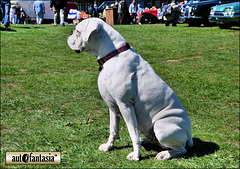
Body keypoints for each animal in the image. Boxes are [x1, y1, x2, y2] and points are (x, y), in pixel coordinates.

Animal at [67, 17, 193, 160]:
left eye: (78, 31)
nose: (70, 32)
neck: (112, 54)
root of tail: (189, 134)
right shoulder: (112, 106)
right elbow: (113, 129)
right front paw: (108, 146)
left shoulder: (125, 104)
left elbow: (133, 133)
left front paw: (136, 155)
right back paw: (148, 141)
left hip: (161, 126)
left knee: (181, 149)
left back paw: (165, 154)